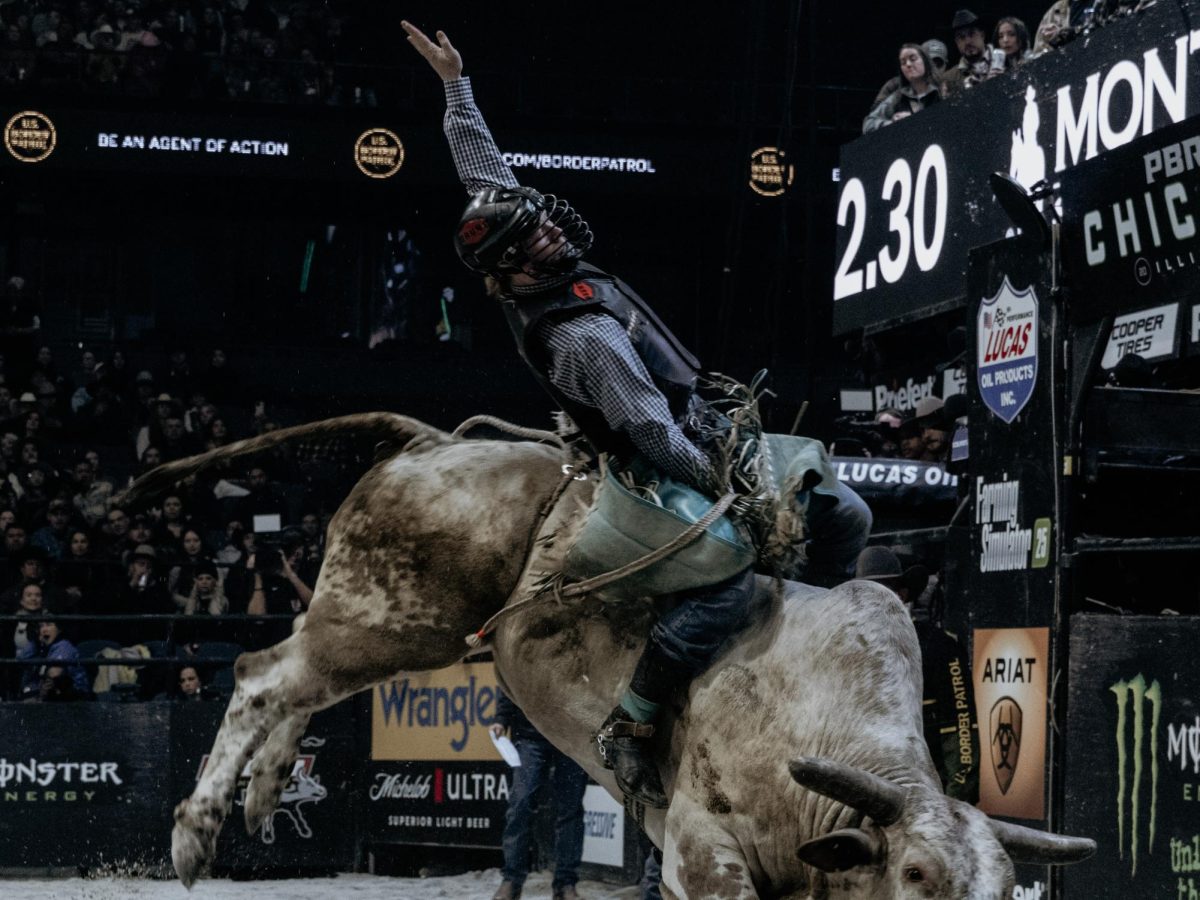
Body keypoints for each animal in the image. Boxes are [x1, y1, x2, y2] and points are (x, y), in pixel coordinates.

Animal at [124, 412, 1099, 897]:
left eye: (1003, 892)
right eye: (918, 876)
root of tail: (435, 443)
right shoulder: (701, 849)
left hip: (381, 626)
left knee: (297, 684)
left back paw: (261, 794)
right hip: (389, 617)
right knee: (261, 676)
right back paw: (195, 832)